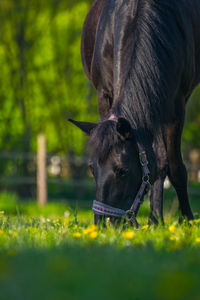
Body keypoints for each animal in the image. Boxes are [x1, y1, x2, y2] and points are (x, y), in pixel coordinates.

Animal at [69, 0, 200, 225]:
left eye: (123, 171)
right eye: (92, 168)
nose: (104, 224)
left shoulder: (176, 104)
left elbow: (176, 167)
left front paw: (187, 220)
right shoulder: (104, 95)